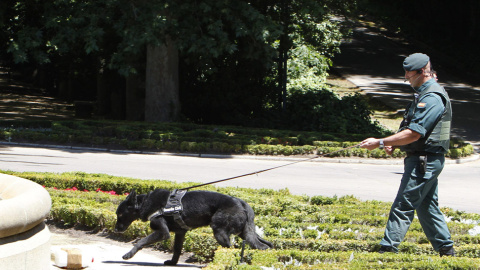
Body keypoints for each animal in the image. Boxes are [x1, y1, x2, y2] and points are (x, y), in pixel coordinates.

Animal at [112, 189, 270, 264]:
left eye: (120, 214)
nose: (115, 230)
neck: (145, 203)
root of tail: (242, 203)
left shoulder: (163, 232)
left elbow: (141, 241)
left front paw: (129, 254)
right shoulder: (180, 233)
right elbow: (177, 250)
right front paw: (173, 263)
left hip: (220, 232)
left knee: (231, 250)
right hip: (245, 233)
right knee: (265, 246)